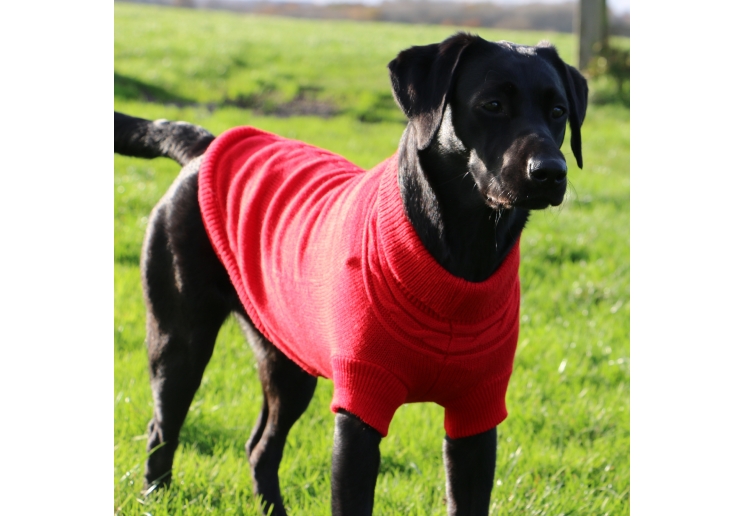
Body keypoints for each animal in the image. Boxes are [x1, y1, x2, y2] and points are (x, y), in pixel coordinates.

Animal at [113, 33, 588, 516]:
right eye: (492, 104)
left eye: (558, 111)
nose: (550, 172)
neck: (459, 258)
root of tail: (207, 146)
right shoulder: (359, 411)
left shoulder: (476, 412)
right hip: (179, 341)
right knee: (162, 431)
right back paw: (155, 493)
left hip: (288, 362)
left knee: (260, 446)